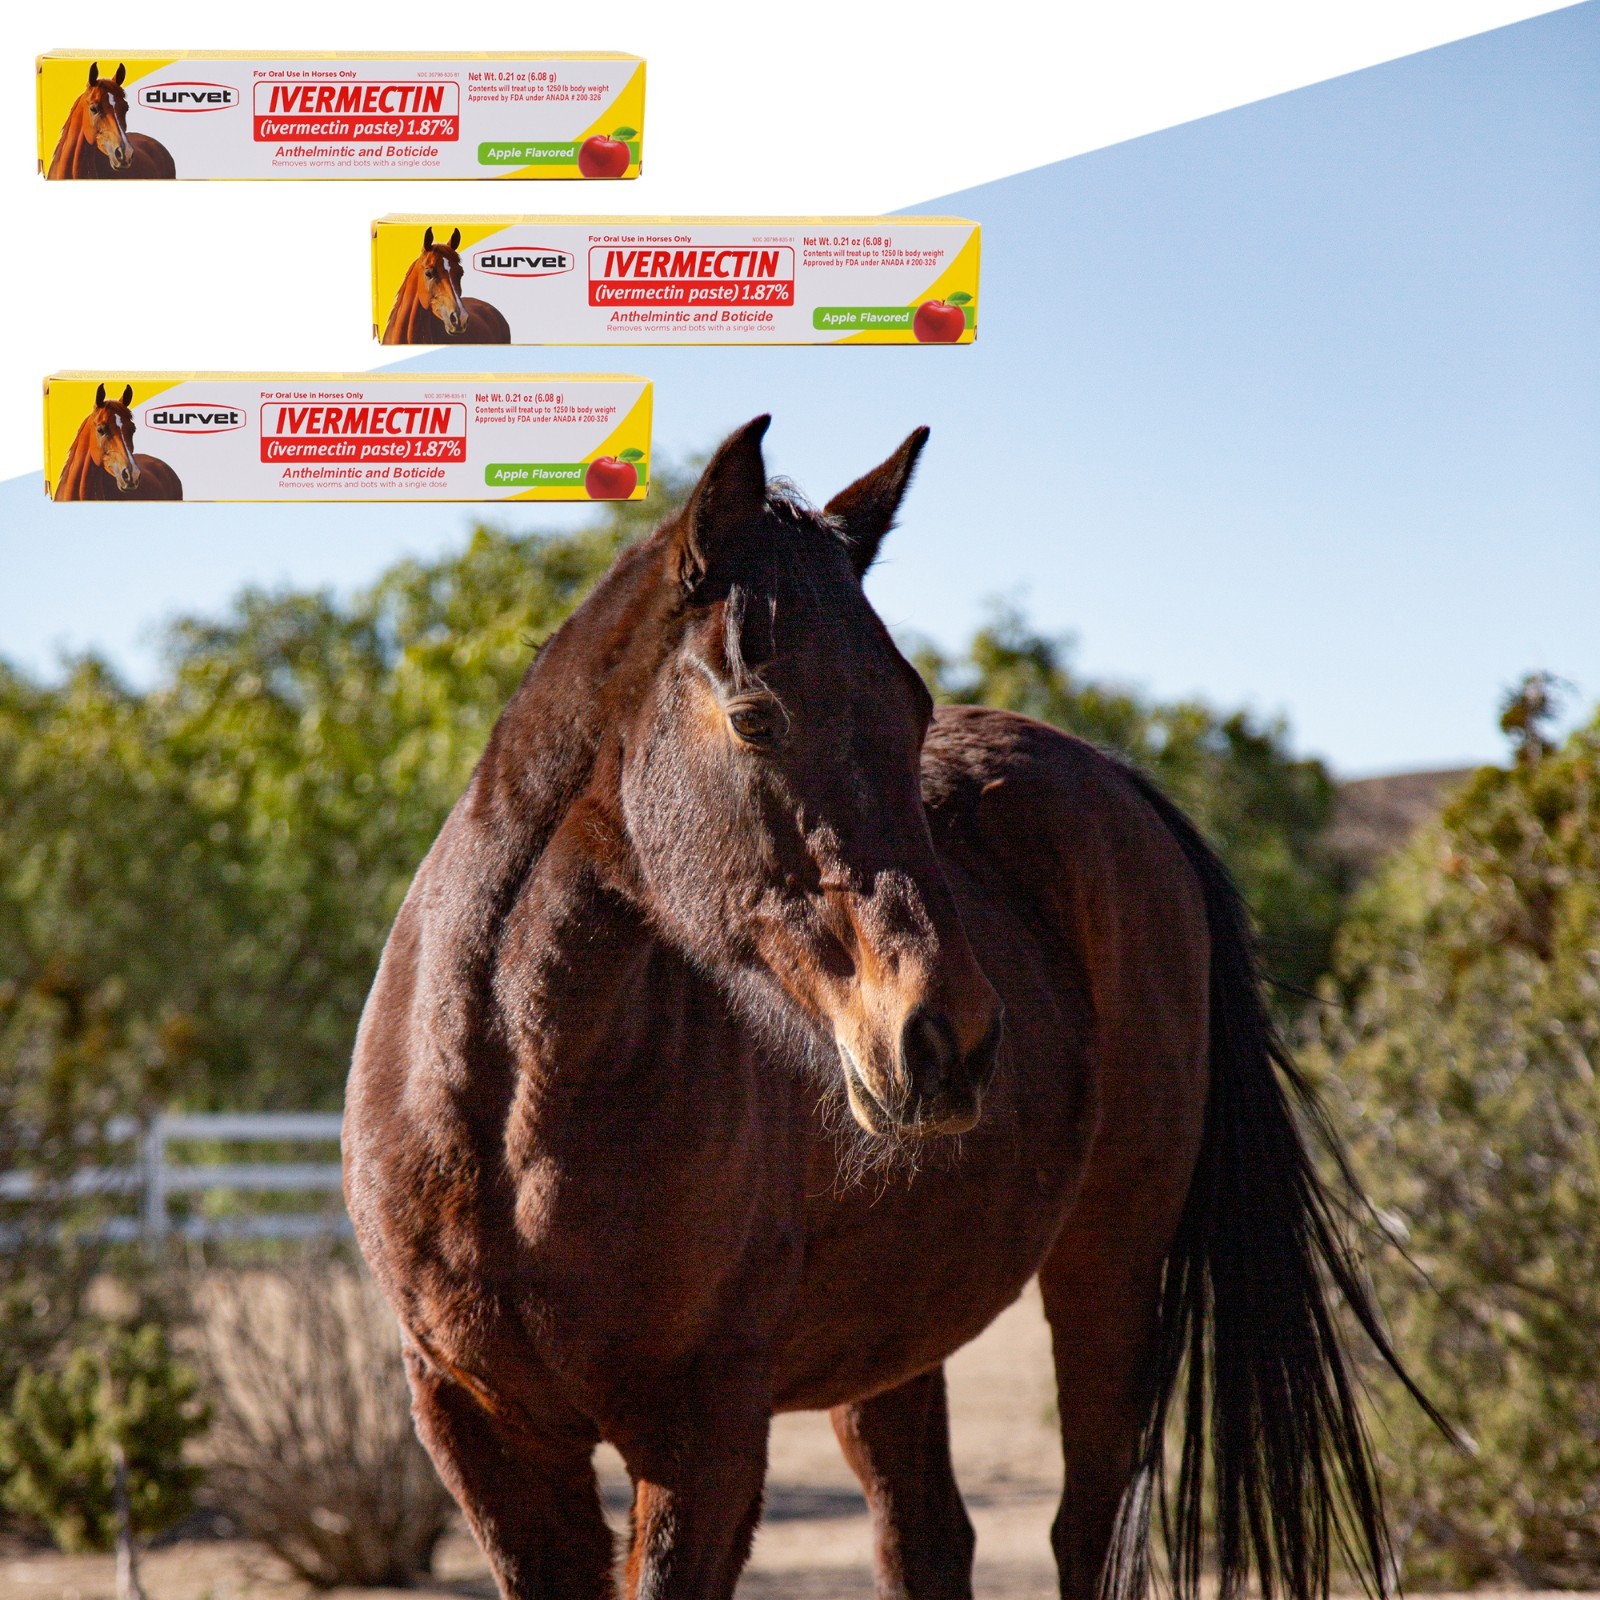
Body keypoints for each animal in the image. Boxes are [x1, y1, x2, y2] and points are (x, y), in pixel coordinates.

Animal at [345, 417, 1431, 1600]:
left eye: (911, 713)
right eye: (755, 716)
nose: (949, 1038)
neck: (505, 1124)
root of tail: (1124, 789)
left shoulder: (701, 1439)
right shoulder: (482, 1433)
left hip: (1108, 1268)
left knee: (1084, 1531)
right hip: (894, 1338)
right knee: (927, 1538)